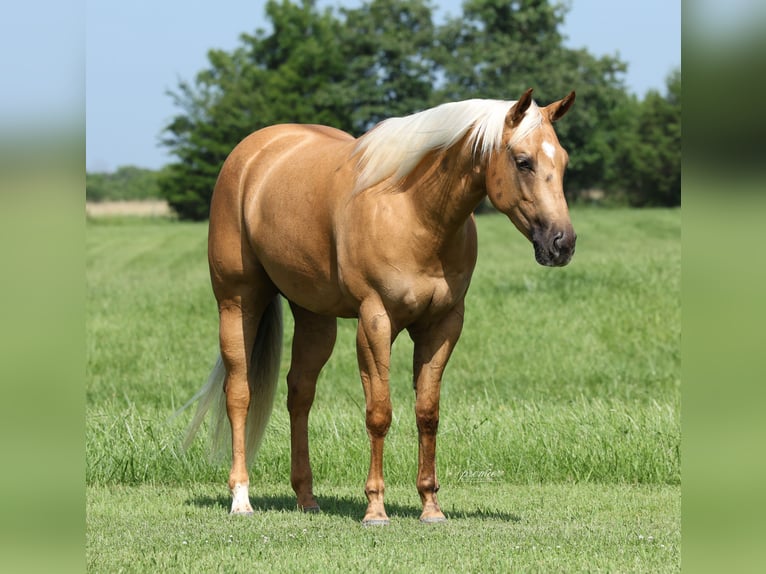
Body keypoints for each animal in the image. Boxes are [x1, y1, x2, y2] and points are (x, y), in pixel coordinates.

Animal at [183, 88, 577, 525]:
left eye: (563, 161)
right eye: (523, 161)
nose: (562, 243)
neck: (414, 211)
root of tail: (252, 152)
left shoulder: (443, 325)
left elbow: (427, 412)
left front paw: (431, 506)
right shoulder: (375, 322)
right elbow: (379, 412)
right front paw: (375, 509)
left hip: (315, 319)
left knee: (299, 395)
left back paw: (306, 497)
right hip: (238, 303)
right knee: (239, 392)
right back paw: (241, 498)